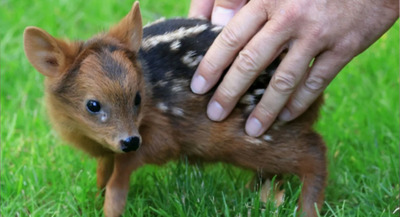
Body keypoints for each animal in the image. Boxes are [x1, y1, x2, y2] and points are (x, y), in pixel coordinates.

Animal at [23, 2, 326, 217]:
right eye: (93, 105)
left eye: (137, 99)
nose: (130, 141)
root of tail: (315, 98)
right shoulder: (108, 147)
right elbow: (103, 172)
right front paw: (91, 201)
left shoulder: (163, 132)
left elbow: (123, 175)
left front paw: (111, 208)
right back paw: (259, 196)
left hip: (259, 131)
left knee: (314, 151)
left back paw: (306, 210)